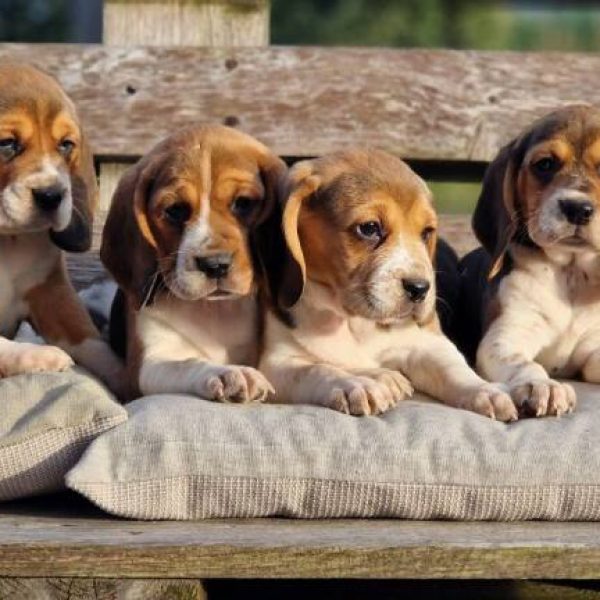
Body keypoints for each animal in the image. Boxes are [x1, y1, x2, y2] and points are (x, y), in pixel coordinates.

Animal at [0, 61, 123, 390]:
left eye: (66, 145)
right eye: (7, 144)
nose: (52, 195)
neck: (6, 242)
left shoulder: (53, 294)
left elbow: (91, 342)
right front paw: (36, 356)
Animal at [102, 124, 288, 400]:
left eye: (243, 203)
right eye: (175, 210)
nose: (215, 265)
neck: (211, 310)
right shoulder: (144, 368)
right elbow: (187, 363)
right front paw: (229, 373)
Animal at [258, 149, 516, 422]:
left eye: (426, 233)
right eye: (369, 228)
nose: (420, 288)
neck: (353, 321)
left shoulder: (429, 343)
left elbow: (454, 369)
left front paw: (485, 391)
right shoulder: (278, 364)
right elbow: (318, 369)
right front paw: (355, 385)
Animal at [458, 106, 600, 418]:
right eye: (545, 165)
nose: (577, 208)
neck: (570, 274)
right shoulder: (504, 337)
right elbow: (526, 364)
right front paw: (543, 386)